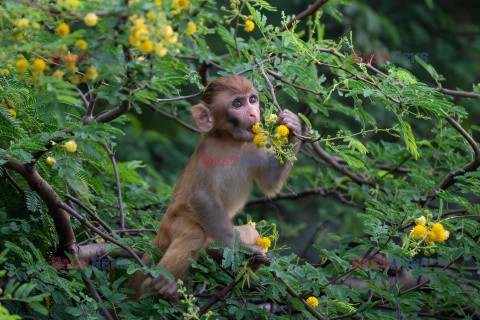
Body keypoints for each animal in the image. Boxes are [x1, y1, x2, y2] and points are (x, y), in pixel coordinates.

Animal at [127, 74, 300, 300]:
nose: (253, 113)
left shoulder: (256, 139)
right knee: (194, 234)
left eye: (252, 99)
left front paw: (294, 126)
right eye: (237, 104)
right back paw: (159, 285)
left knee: (247, 230)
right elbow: (202, 197)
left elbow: (269, 183)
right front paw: (244, 249)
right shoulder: (210, 150)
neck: (233, 141)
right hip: (173, 222)